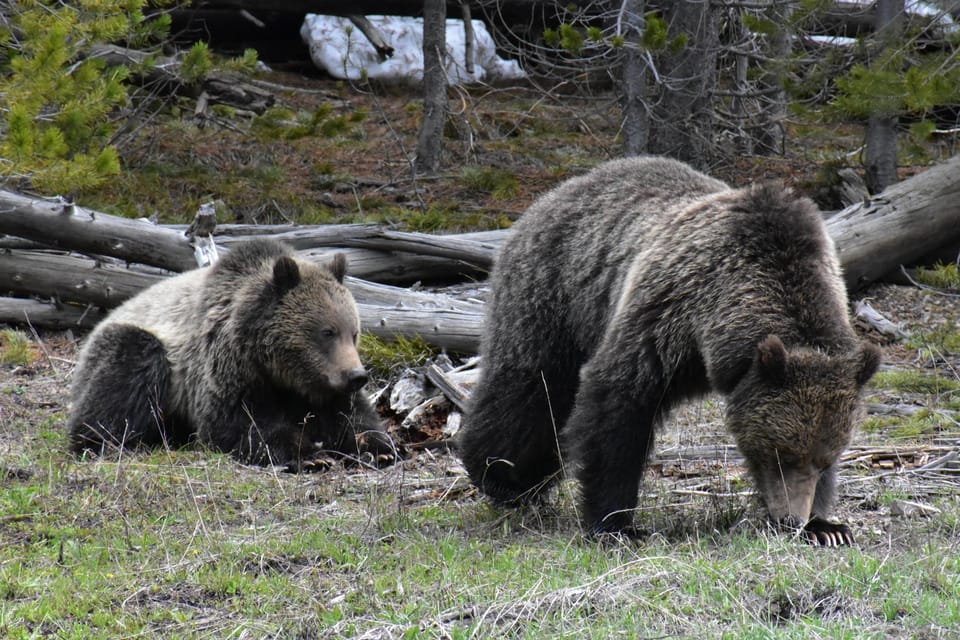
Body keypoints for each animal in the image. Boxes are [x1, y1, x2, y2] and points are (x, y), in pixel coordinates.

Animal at [68, 238, 394, 468]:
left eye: (354, 332)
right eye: (327, 332)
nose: (356, 376)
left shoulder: (320, 387)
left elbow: (352, 416)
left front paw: (378, 449)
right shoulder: (227, 367)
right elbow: (237, 423)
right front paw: (310, 455)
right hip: (139, 349)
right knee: (124, 381)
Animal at [462, 155, 880, 544]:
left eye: (825, 460)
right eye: (782, 454)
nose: (793, 518)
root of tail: (554, 193)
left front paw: (826, 526)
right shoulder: (669, 316)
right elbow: (618, 403)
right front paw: (616, 525)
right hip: (554, 296)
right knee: (530, 390)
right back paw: (502, 477)